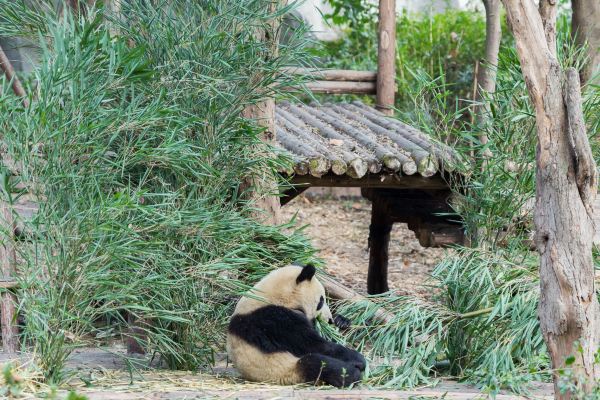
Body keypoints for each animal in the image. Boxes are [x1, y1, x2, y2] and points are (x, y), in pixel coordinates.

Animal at [226, 262, 364, 388]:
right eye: (321, 301)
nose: (329, 319)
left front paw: (341, 321)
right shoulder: (275, 319)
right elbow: (311, 344)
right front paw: (358, 359)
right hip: (284, 369)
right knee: (315, 363)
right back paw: (351, 374)